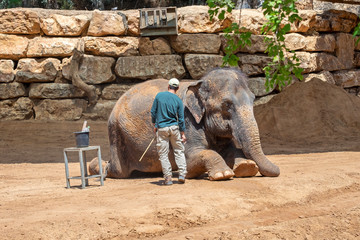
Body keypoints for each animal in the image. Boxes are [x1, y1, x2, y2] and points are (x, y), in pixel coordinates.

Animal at [99, 67, 282, 180]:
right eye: (227, 105)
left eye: (253, 99)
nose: (279, 170)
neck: (199, 83)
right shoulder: (186, 121)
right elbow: (194, 157)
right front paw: (222, 174)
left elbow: (230, 150)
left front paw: (246, 167)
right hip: (116, 132)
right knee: (118, 170)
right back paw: (99, 166)